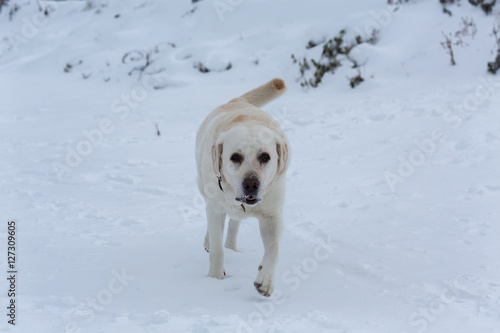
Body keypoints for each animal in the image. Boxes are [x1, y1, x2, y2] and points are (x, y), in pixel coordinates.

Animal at [195, 78, 290, 296]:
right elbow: (217, 248)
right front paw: (215, 279)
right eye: (235, 157)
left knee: (234, 223)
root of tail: (236, 100)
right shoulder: (215, 208)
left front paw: (265, 280)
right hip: (205, 190)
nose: (251, 183)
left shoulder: (272, 215)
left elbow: (274, 249)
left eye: (265, 156)